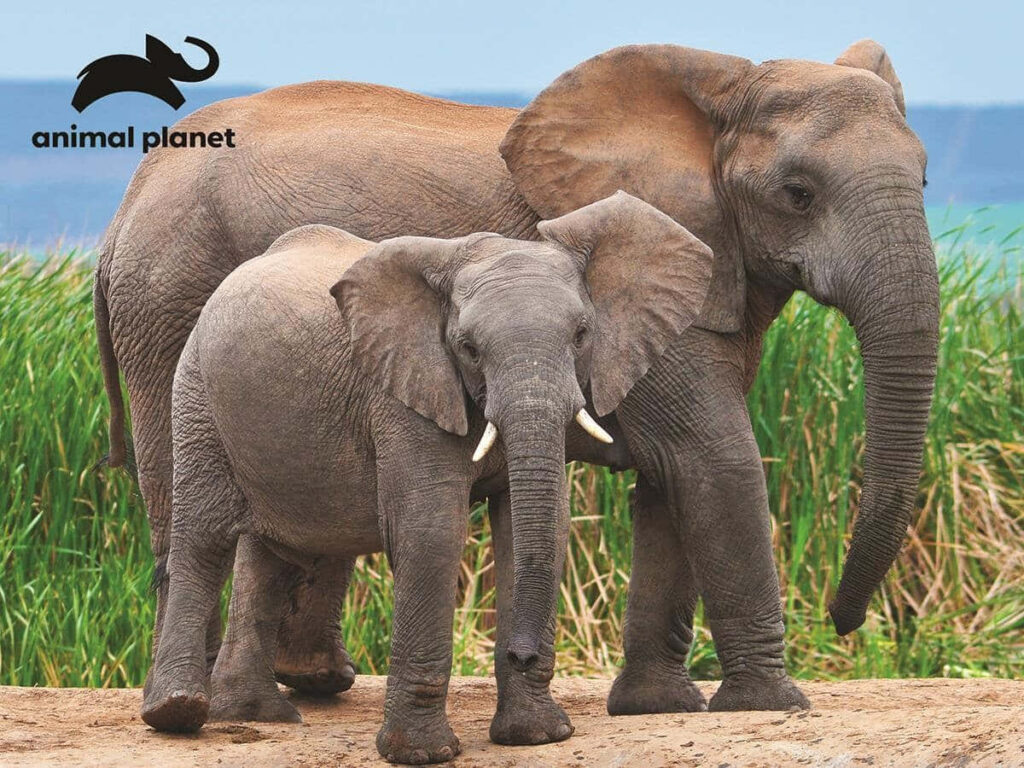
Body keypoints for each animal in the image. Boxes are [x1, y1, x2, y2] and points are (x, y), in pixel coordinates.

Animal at [141, 194, 713, 765]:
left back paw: (257, 715)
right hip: (195, 392)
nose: (521, 653)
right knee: (204, 539)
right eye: (468, 348)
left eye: (581, 335)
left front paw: (536, 736)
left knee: (276, 552)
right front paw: (421, 753)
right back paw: (178, 713)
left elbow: (533, 530)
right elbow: (431, 531)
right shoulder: (402, 393)